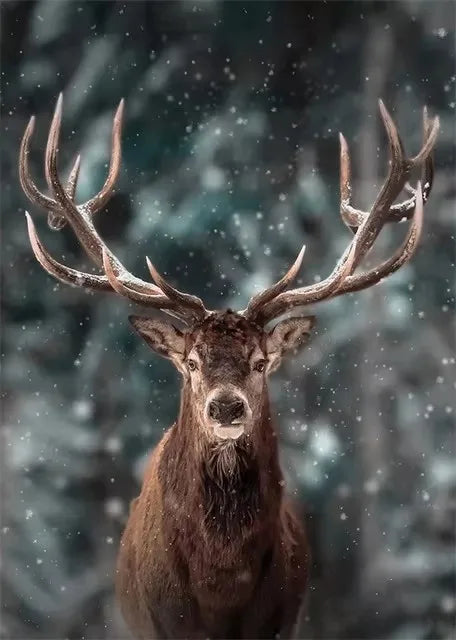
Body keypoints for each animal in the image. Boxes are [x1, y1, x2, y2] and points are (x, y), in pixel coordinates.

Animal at [19, 94, 438, 639]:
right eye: (192, 362)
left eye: (260, 362)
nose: (225, 408)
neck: (221, 586)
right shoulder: (161, 623)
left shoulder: (281, 620)